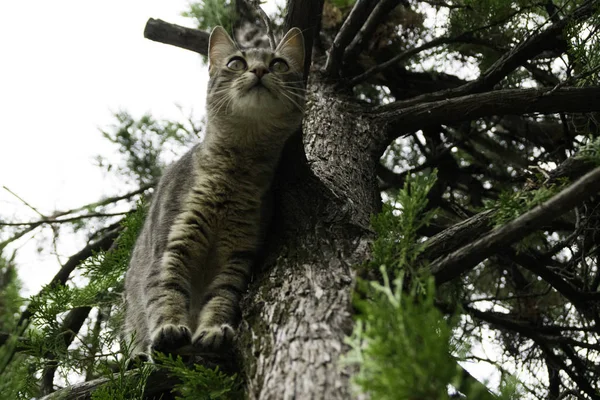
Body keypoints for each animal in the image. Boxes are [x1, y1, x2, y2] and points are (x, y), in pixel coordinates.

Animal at [125, 25, 308, 358]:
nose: (259, 69)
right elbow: (166, 291)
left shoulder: (237, 256)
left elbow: (221, 297)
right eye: (236, 63)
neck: (235, 173)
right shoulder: (171, 244)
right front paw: (169, 328)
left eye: (279, 64)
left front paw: (211, 331)